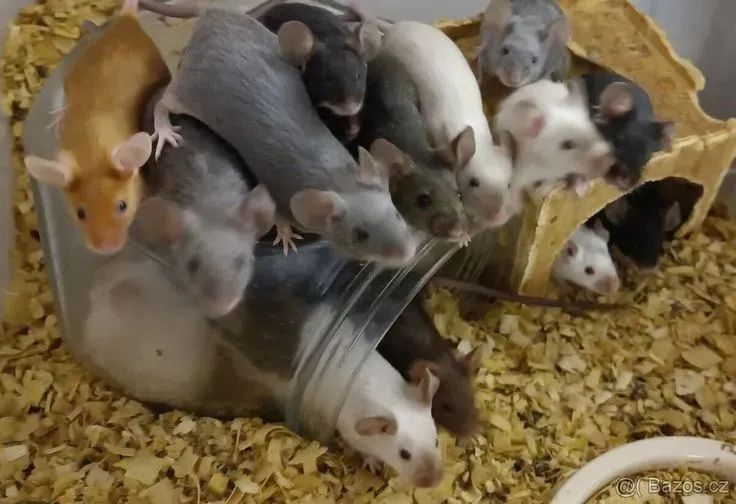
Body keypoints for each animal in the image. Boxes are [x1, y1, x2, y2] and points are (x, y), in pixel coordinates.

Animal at [23, 0, 170, 255]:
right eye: (81, 213)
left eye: (122, 206)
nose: (107, 249)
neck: (92, 153)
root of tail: (126, 21)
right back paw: (59, 116)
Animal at [147, 9, 417, 267]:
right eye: (361, 235)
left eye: (396, 214)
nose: (409, 253)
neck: (337, 178)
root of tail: (209, 18)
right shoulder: (283, 198)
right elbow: (279, 215)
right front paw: (286, 234)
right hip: (190, 88)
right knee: (164, 103)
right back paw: (164, 129)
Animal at [336, 350, 444, 488]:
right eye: (404, 454)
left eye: (436, 442)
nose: (436, 482)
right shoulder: (354, 438)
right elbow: (367, 455)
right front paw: (374, 466)